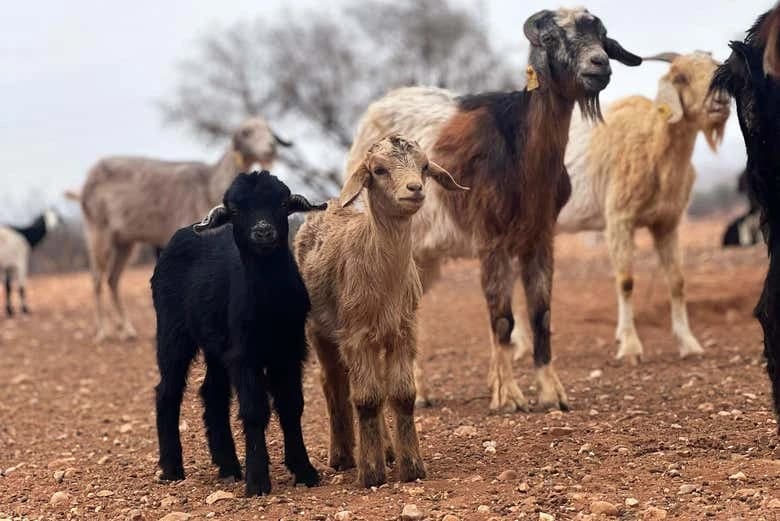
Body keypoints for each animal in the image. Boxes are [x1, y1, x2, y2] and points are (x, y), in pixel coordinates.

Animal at [71, 117, 291, 342]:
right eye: (246, 132)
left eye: (268, 129)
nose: (270, 147)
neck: (208, 186)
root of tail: (85, 185)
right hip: (97, 230)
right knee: (97, 278)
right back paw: (103, 331)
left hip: (125, 241)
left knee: (112, 278)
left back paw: (127, 329)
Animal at [151, 171, 324, 496]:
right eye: (235, 210)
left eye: (283, 203)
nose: (263, 231)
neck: (270, 304)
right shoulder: (245, 354)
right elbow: (254, 410)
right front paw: (257, 481)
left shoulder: (289, 350)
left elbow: (291, 405)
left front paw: (305, 471)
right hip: (172, 331)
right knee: (167, 391)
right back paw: (172, 469)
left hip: (216, 345)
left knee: (212, 393)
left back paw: (229, 466)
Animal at [296, 136, 467, 487]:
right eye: (378, 170)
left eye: (425, 166)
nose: (415, 188)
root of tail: (329, 205)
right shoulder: (355, 334)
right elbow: (366, 399)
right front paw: (371, 473)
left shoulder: (403, 330)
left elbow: (400, 394)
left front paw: (411, 467)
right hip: (319, 330)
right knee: (332, 382)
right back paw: (343, 455)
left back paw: (385, 450)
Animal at [345, 8, 641, 412]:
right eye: (551, 39)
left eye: (603, 36)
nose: (599, 64)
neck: (521, 153)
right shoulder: (491, 239)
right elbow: (502, 319)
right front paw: (509, 396)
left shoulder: (540, 237)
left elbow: (541, 314)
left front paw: (551, 393)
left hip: (424, 256)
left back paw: (419, 391)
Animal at [554, 51, 730, 364]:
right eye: (681, 77)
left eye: (717, 68)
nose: (721, 101)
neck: (652, 145)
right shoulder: (619, 219)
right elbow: (626, 281)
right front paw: (630, 347)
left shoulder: (667, 222)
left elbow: (677, 280)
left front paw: (689, 343)